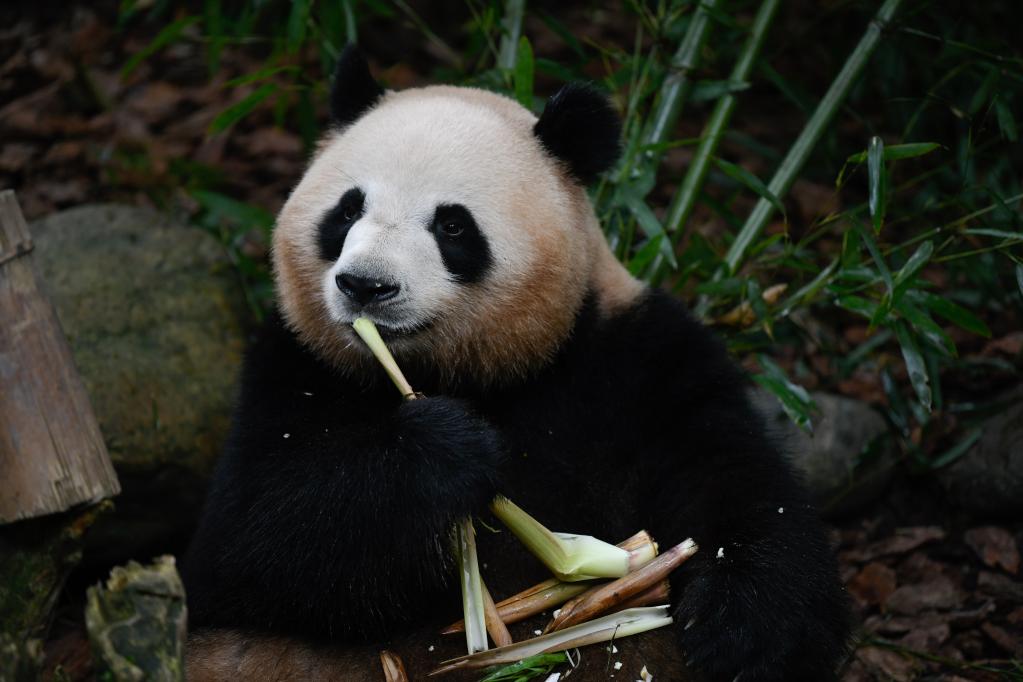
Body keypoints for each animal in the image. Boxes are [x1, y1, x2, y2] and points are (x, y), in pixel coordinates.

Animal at [182, 49, 847, 682]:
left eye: (452, 225)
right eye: (346, 212)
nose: (366, 286)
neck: (470, 373)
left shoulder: (631, 358)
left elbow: (735, 480)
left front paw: (743, 630)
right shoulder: (295, 365)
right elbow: (248, 545)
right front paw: (445, 449)